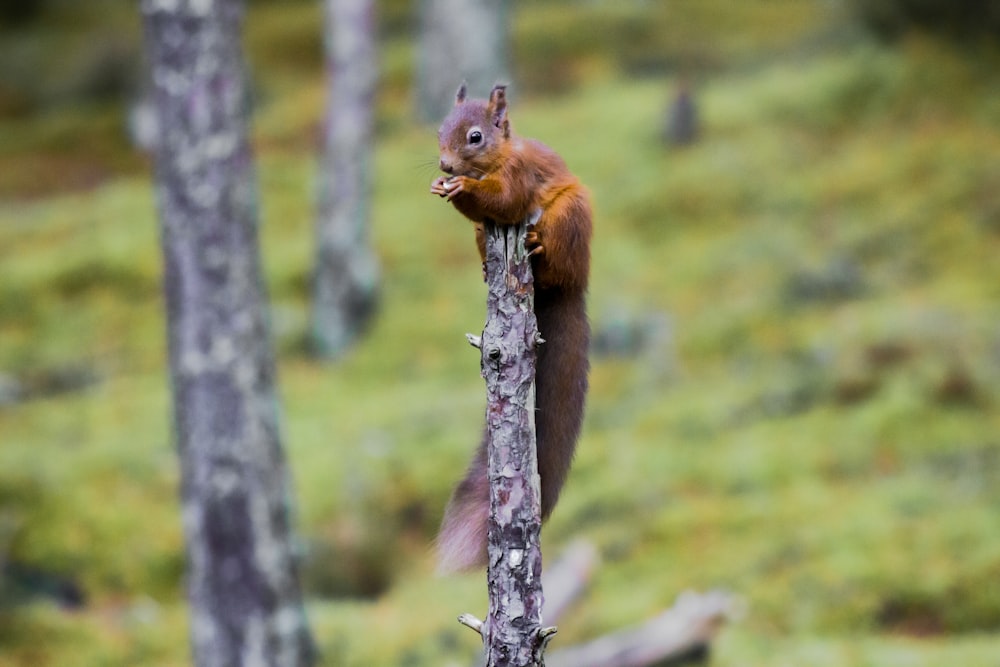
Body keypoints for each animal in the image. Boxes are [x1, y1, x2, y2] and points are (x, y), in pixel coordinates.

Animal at [428, 83, 584, 572]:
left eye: (475, 137)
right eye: (440, 131)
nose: (445, 166)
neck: (494, 162)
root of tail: (574, 285)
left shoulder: (518, 177)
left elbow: (506, 201)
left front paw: (461, 188)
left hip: (569, 218)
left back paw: (538, 247)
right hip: (483, 235)